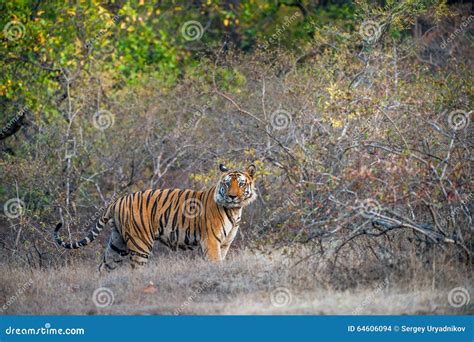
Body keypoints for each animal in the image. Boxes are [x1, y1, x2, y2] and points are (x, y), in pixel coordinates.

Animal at [52, 163, 256, 270]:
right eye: (227, 183)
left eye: (241, 184)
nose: (232, 196)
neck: (235, 210)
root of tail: (117, 201)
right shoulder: (211, 240)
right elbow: (215, 262)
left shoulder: (225, 243)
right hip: (140, 243)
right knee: (135, 268)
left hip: (117, 242)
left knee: (105, 265)